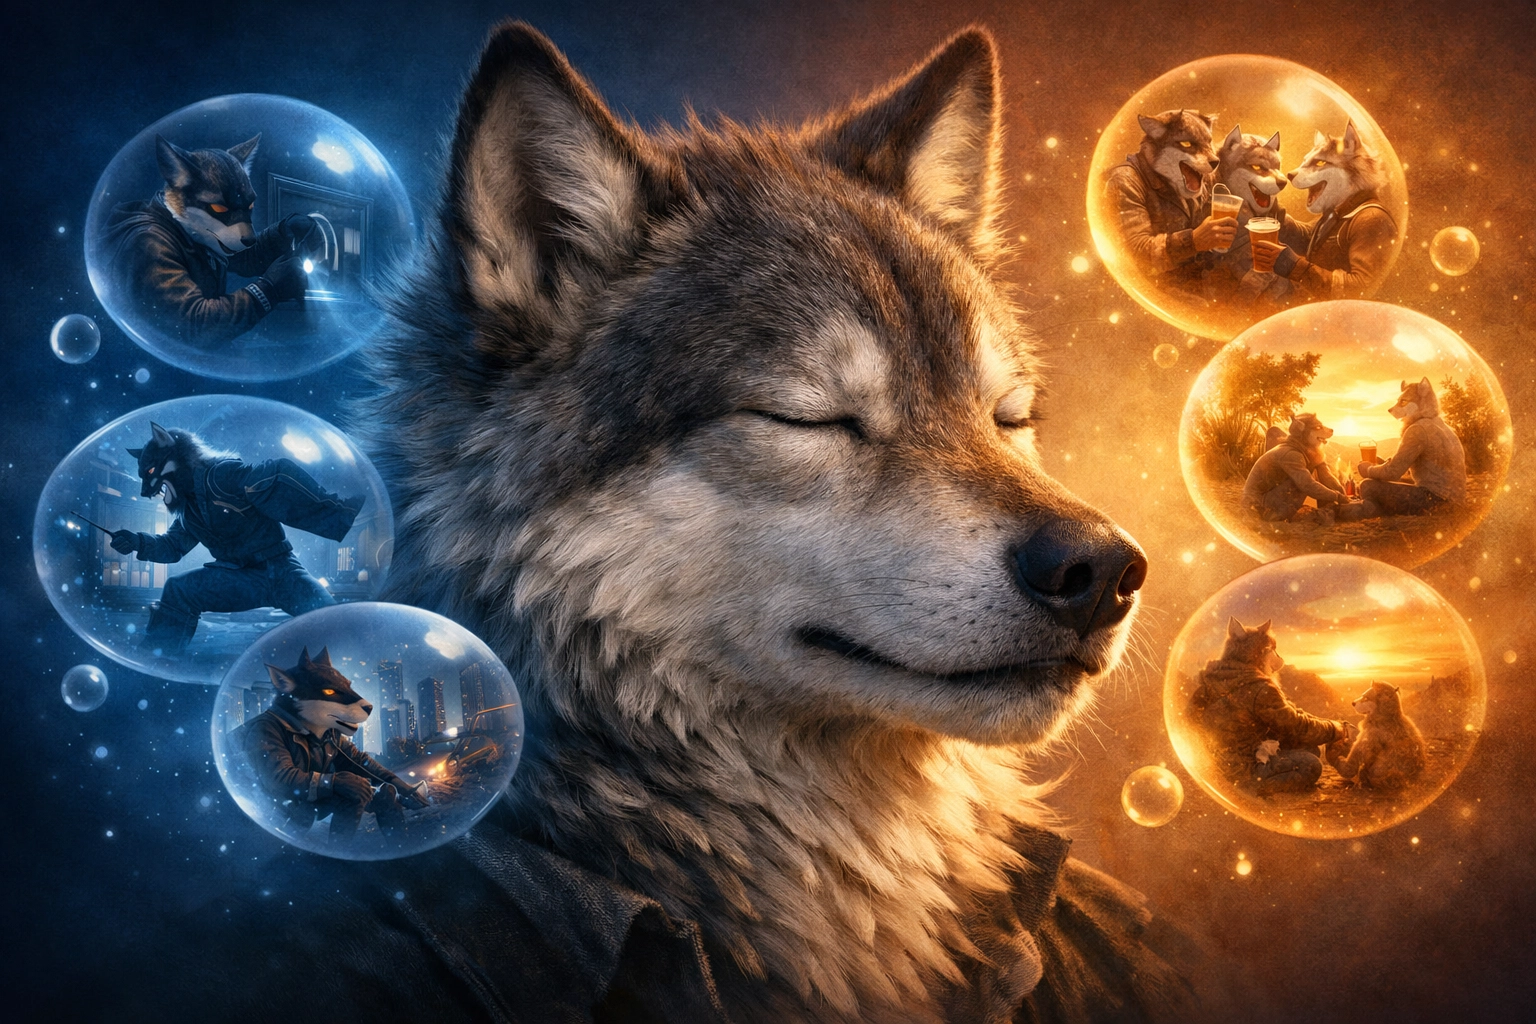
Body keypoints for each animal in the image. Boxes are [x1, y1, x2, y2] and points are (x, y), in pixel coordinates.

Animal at [99, 135, 319, 346]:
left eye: (250, 205)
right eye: (219, 208)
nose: (251, 240)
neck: (175, 223)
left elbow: (249, 258)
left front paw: (296, 225)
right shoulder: (148, 250)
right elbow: (193, 319)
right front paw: (285, 276)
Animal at [1260, 121, 1398, 300]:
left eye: (1320, 163)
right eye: (1304, 160)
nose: (1289, 175)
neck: (1347, 205)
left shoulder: (1373, 227)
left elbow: (1350, 284)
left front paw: (1281, 257)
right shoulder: (1310, 232)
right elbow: (1302, 234)